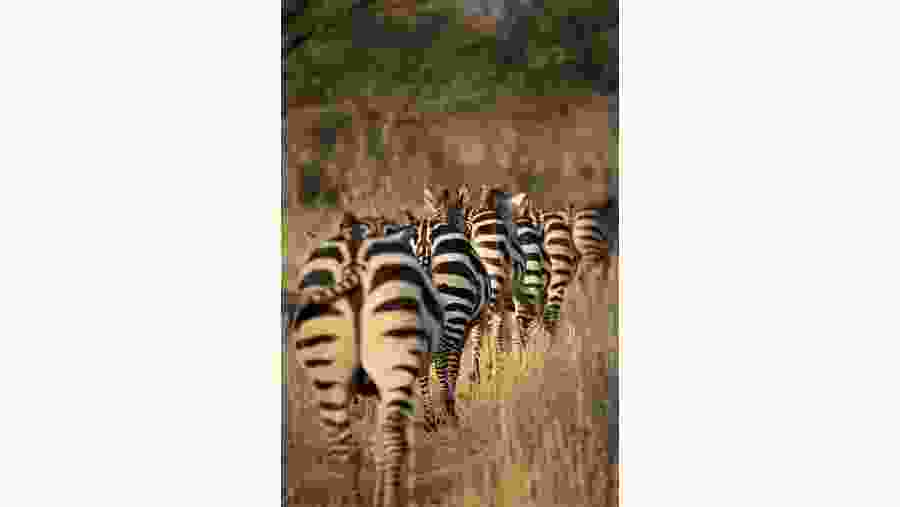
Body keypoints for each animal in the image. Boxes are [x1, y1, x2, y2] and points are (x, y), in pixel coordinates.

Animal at [286, 211, 444, 507]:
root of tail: (354, 255)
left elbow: (373, 444)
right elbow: (392, 442)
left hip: (327, 372)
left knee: (345, 447)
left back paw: (354, 499)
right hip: (397, 364)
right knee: (393, 442)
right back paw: (391, 500)